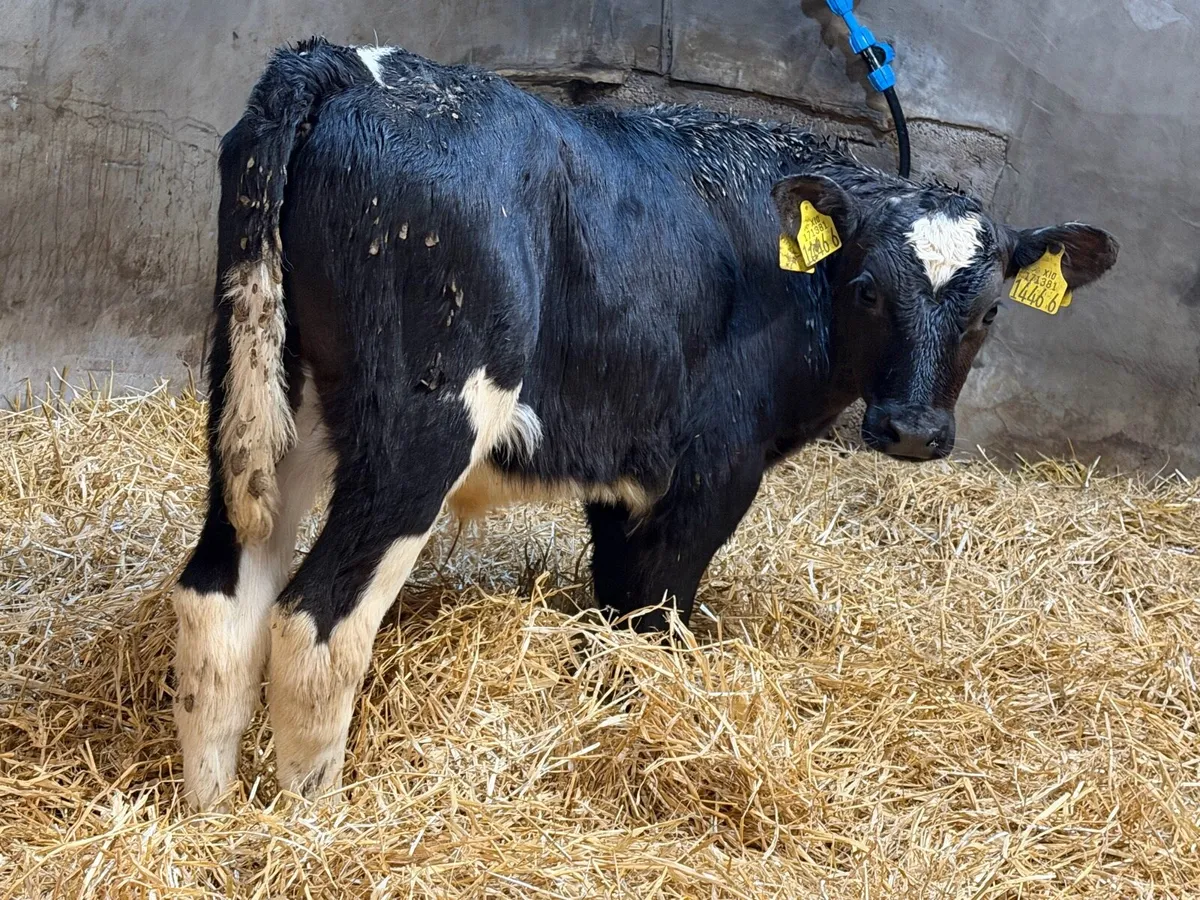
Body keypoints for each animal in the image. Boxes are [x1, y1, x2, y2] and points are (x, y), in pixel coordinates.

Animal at [172, 37, 1118, 810]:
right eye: (868, 290)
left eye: (989, 311)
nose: (914, 429)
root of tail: (342, 64)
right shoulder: (712, 469)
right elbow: (655, 613)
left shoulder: (625, 466)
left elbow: (617, 609)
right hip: (418, 430)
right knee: (317, 622)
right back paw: (314, 822)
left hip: (266, 405)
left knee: (221, 594)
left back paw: (213, 816)